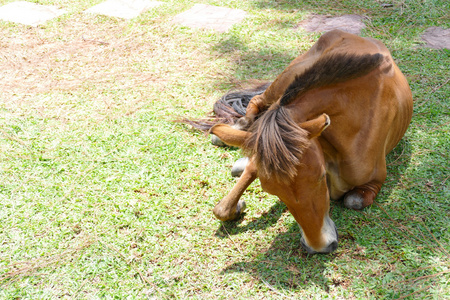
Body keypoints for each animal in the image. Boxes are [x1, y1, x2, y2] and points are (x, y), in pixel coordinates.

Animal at [209, 30, 414, 253]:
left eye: (321, 176)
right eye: (271, 191)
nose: (319, 247)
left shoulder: (374, 182)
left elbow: (353, 200)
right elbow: (222, 209)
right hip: (286, 81)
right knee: (257, 103)